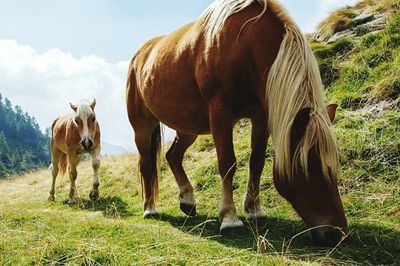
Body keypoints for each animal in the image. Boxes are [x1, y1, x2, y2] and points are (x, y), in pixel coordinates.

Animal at [127, 0, 346, 247]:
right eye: (307, 165)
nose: (337, 233)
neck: (242, 46)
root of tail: (140, 55)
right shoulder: (220, 113)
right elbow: (227, 163)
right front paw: (229, 219)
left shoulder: (261, 116)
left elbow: (256, 161)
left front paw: (254, 211)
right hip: (142, 126)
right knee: (146, 164)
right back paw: (150, 208)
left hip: (188, 127)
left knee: (173, 156)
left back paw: (188, 200)